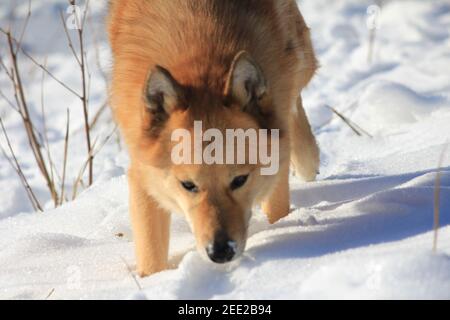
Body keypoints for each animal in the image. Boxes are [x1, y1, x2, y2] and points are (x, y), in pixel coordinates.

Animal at [108, 0, 320, 276]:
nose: (220, 252)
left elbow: (277, 207)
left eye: (239, 180)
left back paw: (307, 158)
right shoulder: (144, 173)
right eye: (188, 185)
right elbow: (151, 254)